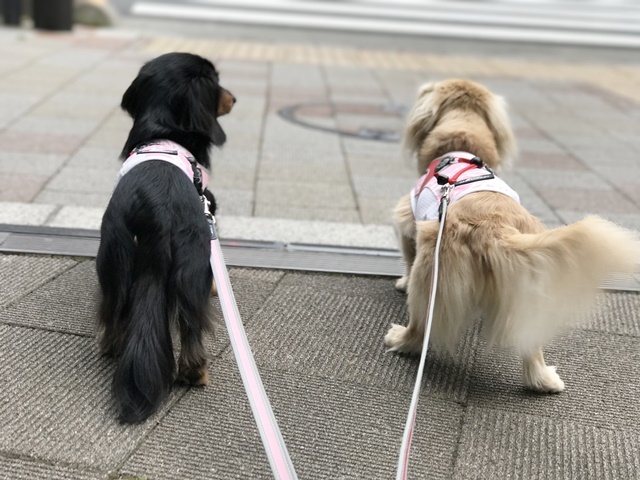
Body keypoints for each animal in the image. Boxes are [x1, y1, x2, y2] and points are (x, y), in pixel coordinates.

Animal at [95, 52, 235, 424]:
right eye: (216, 81)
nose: (234, 98)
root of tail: (153, 205)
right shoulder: (209, 206)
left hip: (114, 255)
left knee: (114, 307)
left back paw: (112, 346)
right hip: (192, 257)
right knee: (190, 322)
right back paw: (195, 373)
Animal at [384, 79, 640, 394]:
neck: (461, 147)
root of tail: (493, 228)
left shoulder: (408, 218)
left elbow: (406, 256)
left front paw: (402, 282)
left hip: (430, 270)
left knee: (420, 325)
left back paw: (401, 339)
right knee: (532, 346)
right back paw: (544, 380)